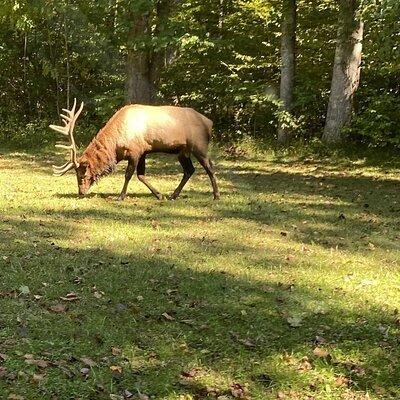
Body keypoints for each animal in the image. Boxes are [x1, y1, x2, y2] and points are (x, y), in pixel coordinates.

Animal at [50, 99, 220, 200]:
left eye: (82, 175)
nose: (81, 192)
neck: (116, 147)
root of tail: (209, 123)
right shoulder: (143, 151)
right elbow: (141, 175)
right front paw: (159, 195)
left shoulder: (135, 151)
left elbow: (129, 175)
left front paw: (121, 196)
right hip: (182, 152)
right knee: (189, 170)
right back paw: (173, 195)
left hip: (199, 146)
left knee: (210, 167)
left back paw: (216, 195)